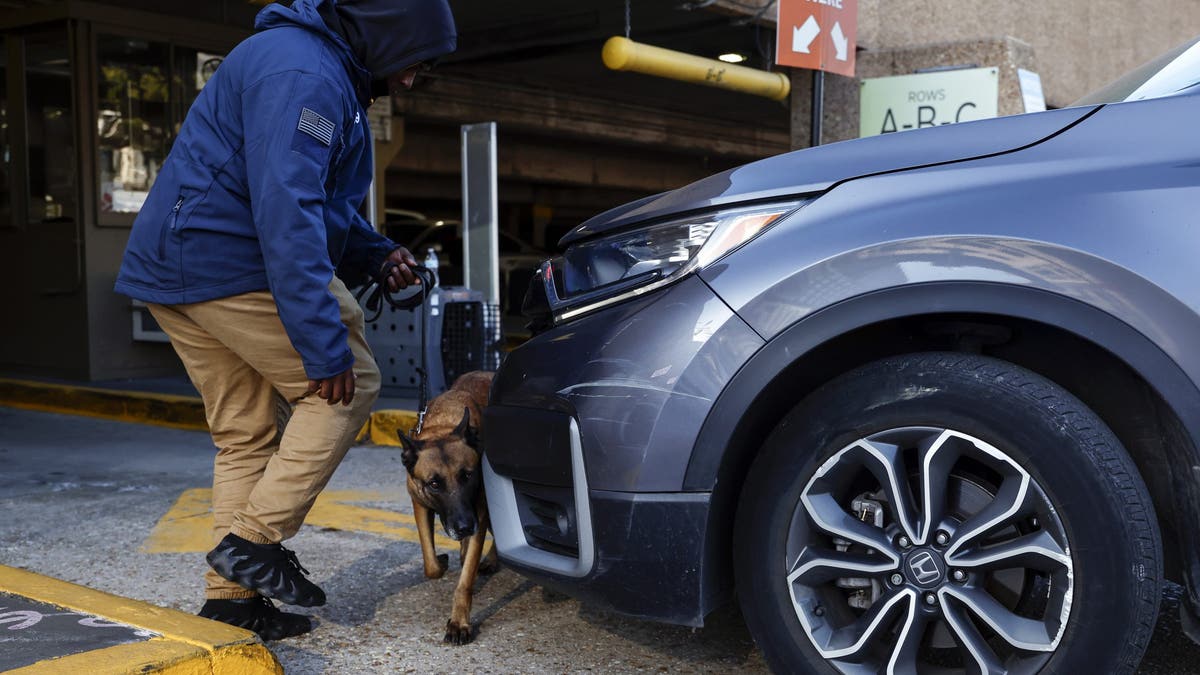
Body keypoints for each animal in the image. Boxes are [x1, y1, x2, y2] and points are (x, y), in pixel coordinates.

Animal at [398, 369, 496, 643]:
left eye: (467, 476)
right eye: (434, 484)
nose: (464, 527)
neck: (442, 426)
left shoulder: (479, 515)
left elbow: (465, 581)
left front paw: (459, 622)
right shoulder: (420, 505)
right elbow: (430, 565)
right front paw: (440, 562)